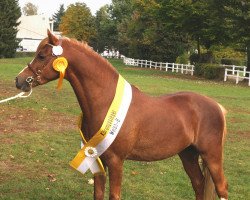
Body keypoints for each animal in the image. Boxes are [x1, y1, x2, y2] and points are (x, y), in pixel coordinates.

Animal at [15, 30, 229, 199]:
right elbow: (98, 193)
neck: (106, 101)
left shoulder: (116, 161)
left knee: (221, 187)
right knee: (199, 184)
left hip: (211, 155)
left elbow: (114, 195)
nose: (19, 80)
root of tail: (217, 106)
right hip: (188, 155)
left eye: (42, 56)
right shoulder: (97, 160)